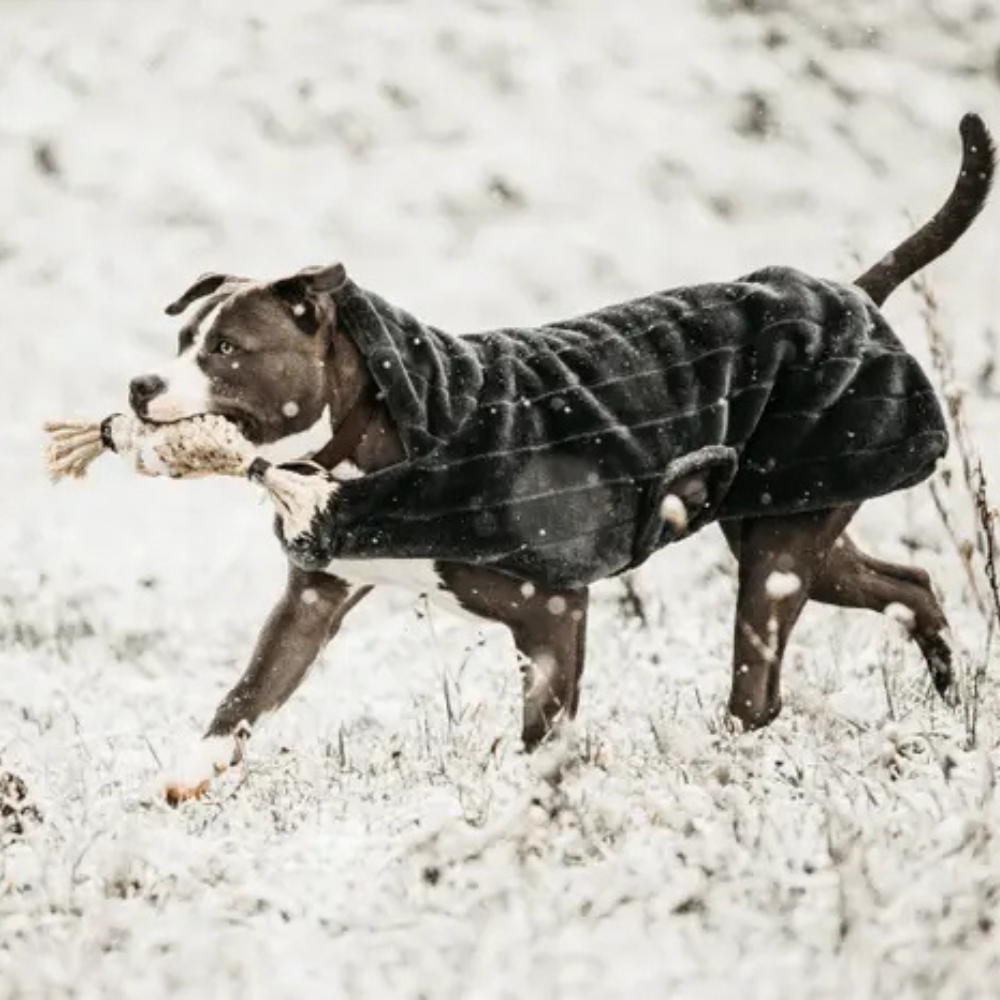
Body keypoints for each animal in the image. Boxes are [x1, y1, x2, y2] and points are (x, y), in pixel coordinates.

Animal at [131, 115, 992, 804]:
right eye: (181, 340)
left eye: (227, 350)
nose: (142, 385)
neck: (373, 442)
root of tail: (851, 294)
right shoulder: (313, 597)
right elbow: (250, 692)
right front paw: (189, 773)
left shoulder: (550, 607)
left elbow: (543, 732)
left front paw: (538, 813)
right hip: (795, 516)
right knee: (908, 586)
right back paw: (952, 696)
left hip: (782, 548)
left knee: (759, 691)